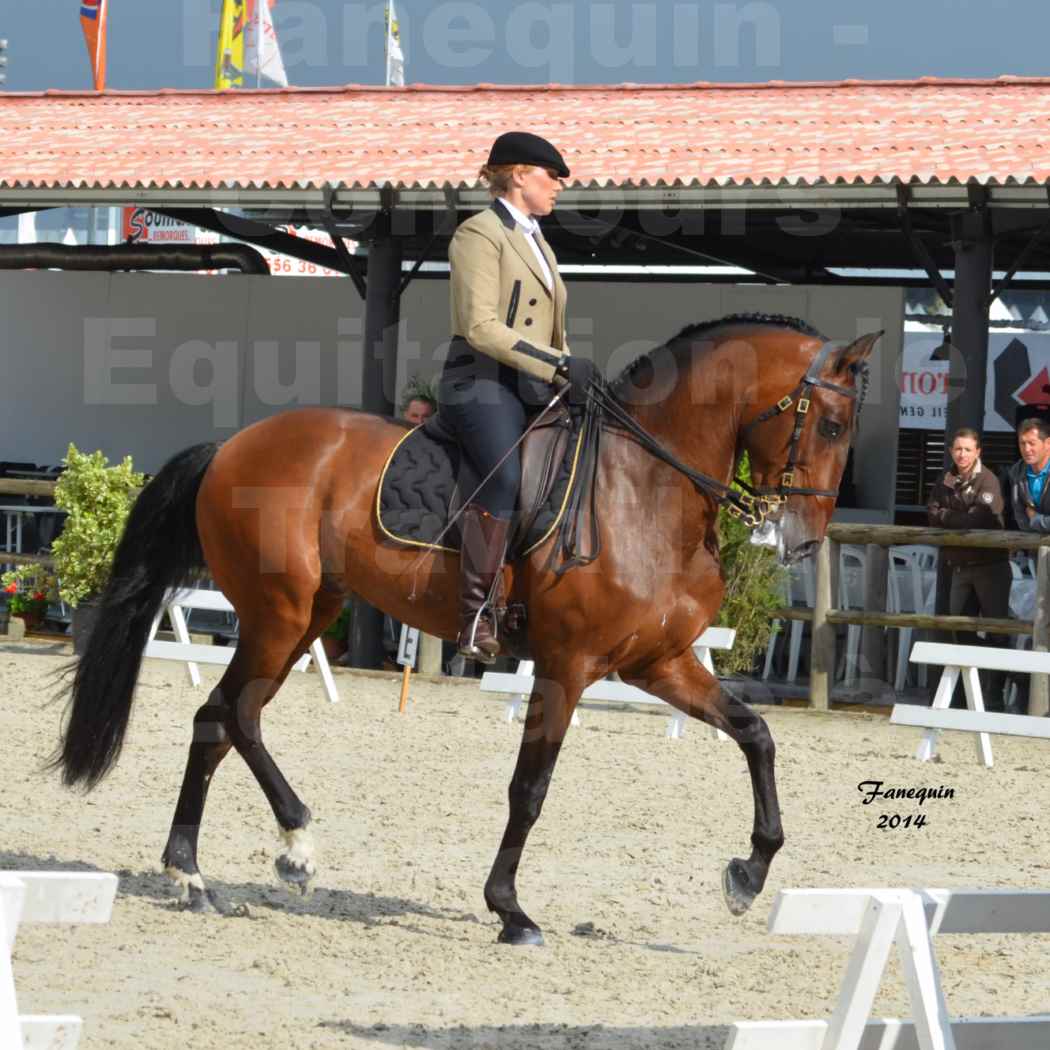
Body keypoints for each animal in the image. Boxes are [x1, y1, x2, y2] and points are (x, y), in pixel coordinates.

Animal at [53, 310, 881, 944]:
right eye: (831, 424)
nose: (802, 543)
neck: (646, 489)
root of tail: (232, 445)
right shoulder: (568, 665)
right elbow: (530, 789)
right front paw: (511, 911)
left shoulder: (659, 662)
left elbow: (755, 734)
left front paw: (749, 873)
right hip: (276, 616)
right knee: (234, 717)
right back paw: (274, 852)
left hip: (304, 615)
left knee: (220, 719)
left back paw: (207, 871)